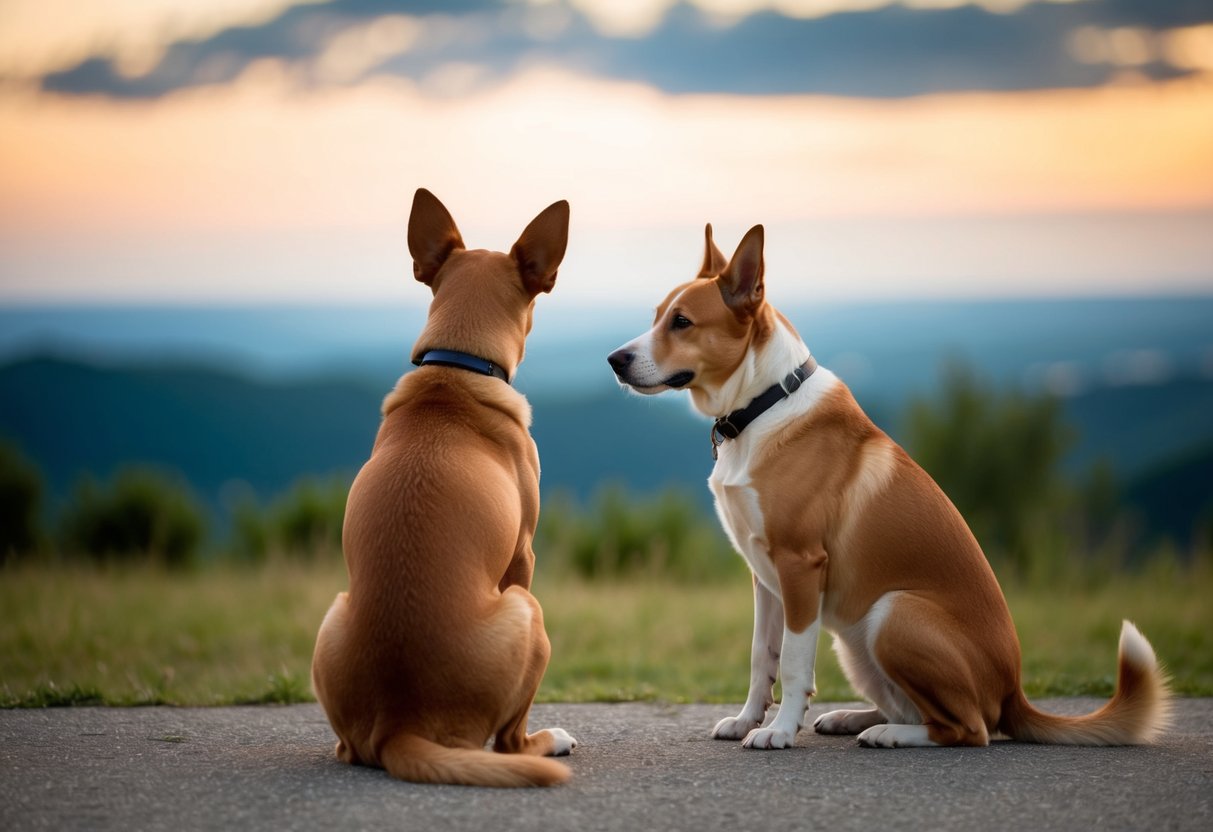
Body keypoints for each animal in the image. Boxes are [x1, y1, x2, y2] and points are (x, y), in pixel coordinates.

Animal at [312, 189, 577, 790]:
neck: (455, 367)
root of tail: (400, 723)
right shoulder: (523, 552)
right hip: (528, 612)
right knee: (508, 741)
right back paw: (546, 742)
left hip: (333, 616)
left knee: (348, 748)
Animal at [611, 224, 1169, 751]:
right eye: (656, 315)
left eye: (682, 322)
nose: (615, 359)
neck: (762, 404)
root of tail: (1014, 694)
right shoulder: (764, 577)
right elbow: (759, 657)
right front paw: (748, 720)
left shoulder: (799, 565)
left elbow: (792, 663)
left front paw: (780, 732)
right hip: (857, 643)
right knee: (918, 710)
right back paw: (853, 719)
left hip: (892, 613)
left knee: (968, 728)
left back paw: (889, 735)